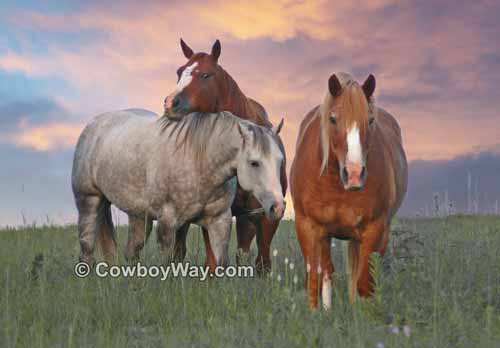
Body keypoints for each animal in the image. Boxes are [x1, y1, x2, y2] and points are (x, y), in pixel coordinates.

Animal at [72, 109, 288, 266]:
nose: (277, 207)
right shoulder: (167, 220)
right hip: (89, 201)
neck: (200, 159)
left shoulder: (220, 220)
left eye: (280, 161)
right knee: (86, 249)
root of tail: (94, 125)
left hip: (139, 216)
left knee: (132, 252)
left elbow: (222, 263)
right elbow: (167, 263)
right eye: (254, 163)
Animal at [164, 37, 288, 272]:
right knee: (178, 248)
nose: (169, 103)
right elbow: (212, 261)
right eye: (179, 72)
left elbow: (262, 262)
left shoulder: (266, 216)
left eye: (206, 75)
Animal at [290, 72, 406, 308]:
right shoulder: (307, 226)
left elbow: (364, 283)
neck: (336, 185)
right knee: (326, 271)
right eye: (333, 119)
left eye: (370, 120)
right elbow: (314, 280)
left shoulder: (373, 229)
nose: (353, 174)